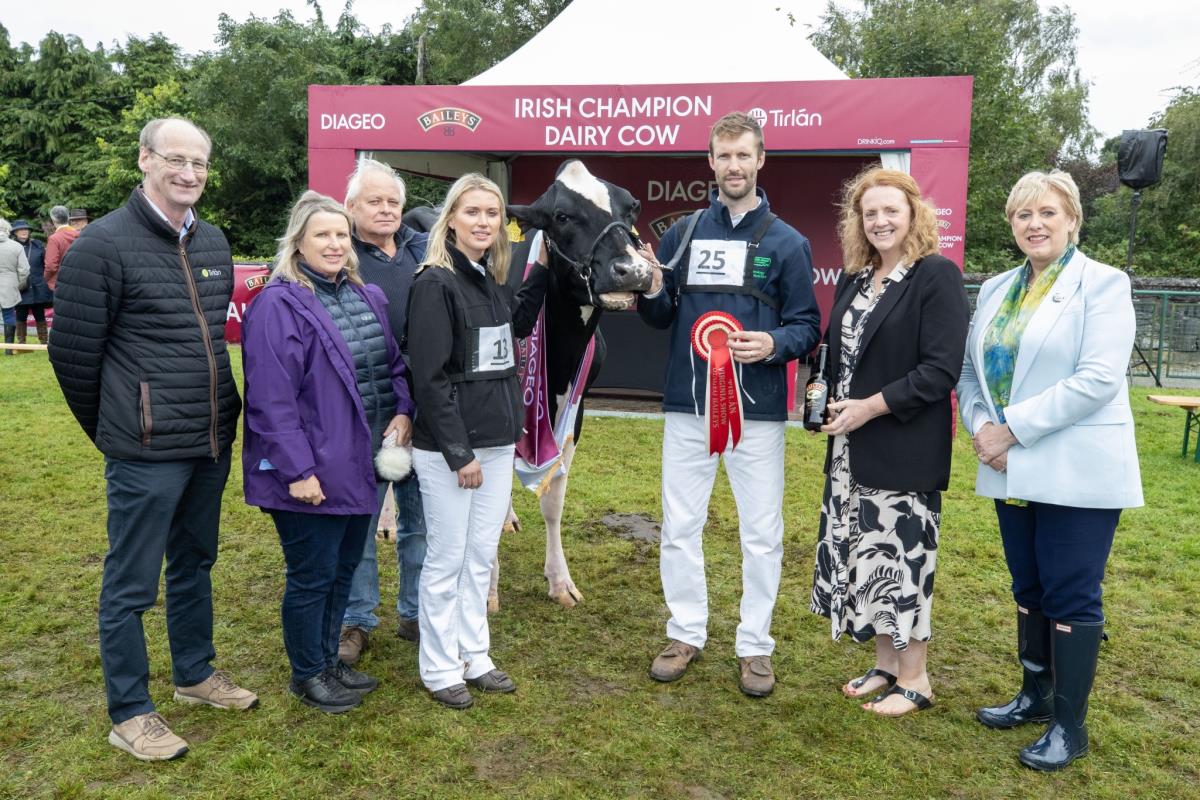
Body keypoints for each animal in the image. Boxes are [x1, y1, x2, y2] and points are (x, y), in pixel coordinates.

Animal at [408, 164, 652, 614]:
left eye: (631, 207)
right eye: (561, 215)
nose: (634, 270)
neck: (560, 354)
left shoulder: (577, 409)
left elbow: (553, 501)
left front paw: (560, 581)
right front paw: (487, 591)